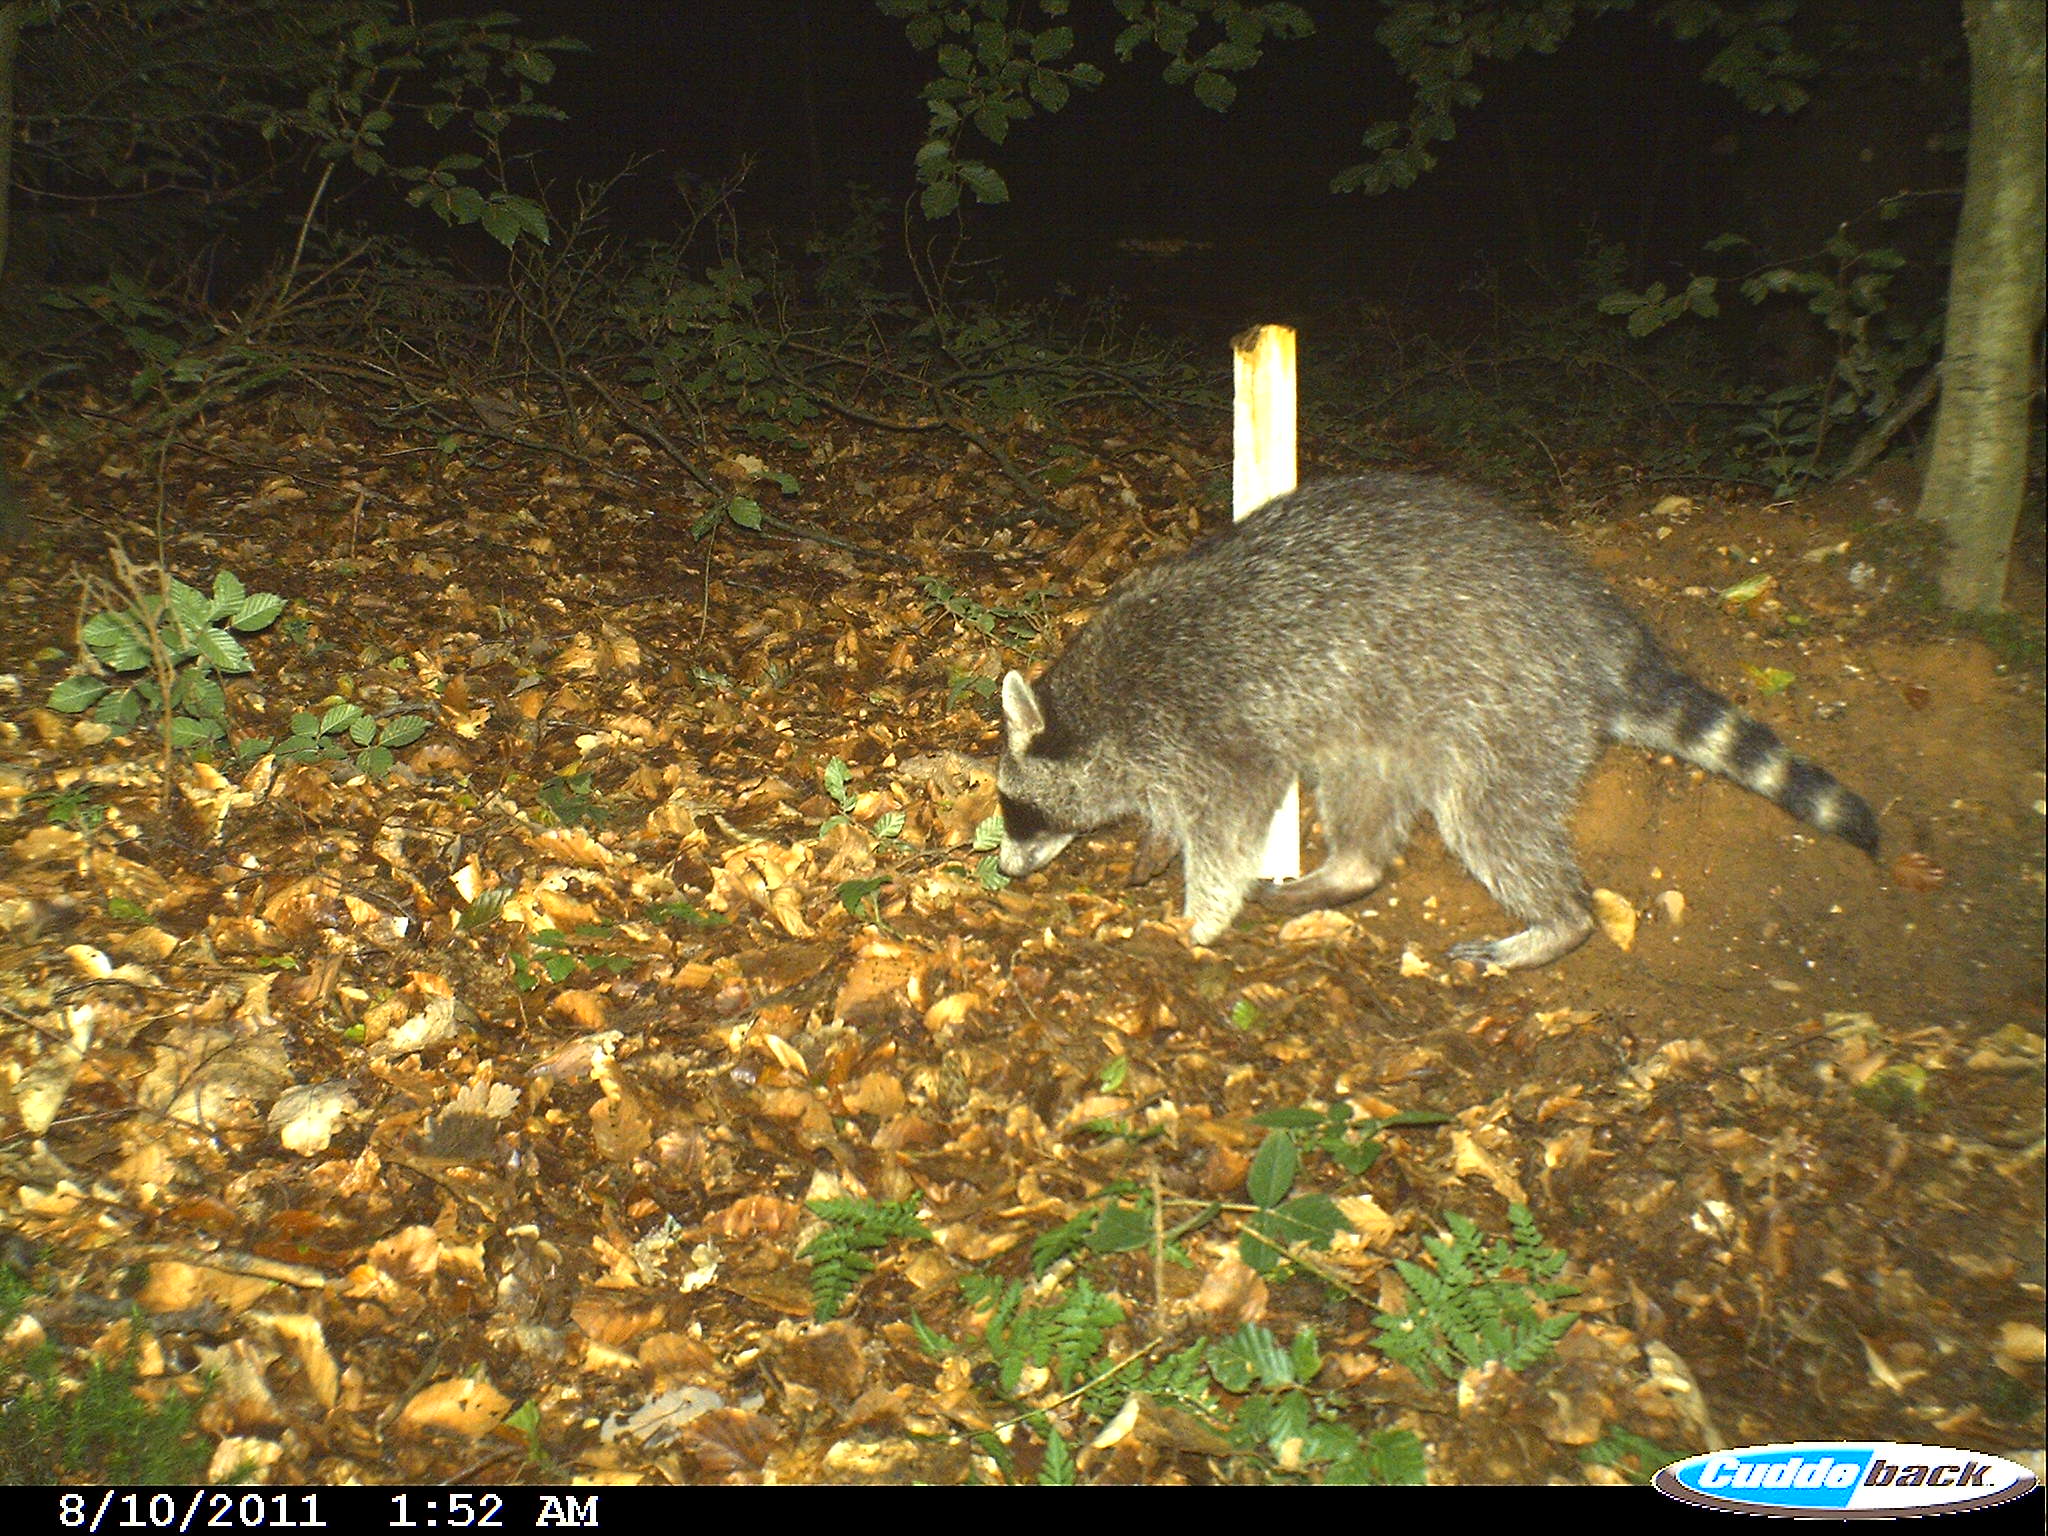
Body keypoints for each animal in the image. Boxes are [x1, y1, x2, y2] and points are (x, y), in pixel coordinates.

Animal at [996, 472, 1880, 970]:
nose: (1004, 869)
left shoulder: (1206, 723)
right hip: (1390, 718)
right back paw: (1347, 870)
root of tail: (1602, 631)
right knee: (1363, 788)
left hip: (1514, 710)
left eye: (1015, 808)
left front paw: (1200, 915)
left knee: (1491, 819)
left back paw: (1558, 923)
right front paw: (1156, 836)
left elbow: (1231, 818)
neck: (1094, 705)